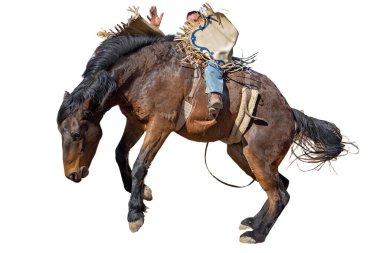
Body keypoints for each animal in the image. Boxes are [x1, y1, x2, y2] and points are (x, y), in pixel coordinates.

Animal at [57, 34, 354, 244]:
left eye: (76, 133)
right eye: (59, 132)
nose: (71, 175)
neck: (145, 72)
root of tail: (290, 113)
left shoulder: (161, 124)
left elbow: (142, 164)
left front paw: (135, 214)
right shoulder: (137, 122)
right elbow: (121, 153)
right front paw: (140, 194)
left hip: (258, 158)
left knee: (280, 194)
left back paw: (256, 235)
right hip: (241, 154)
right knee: (281, 186)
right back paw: (254, 223)